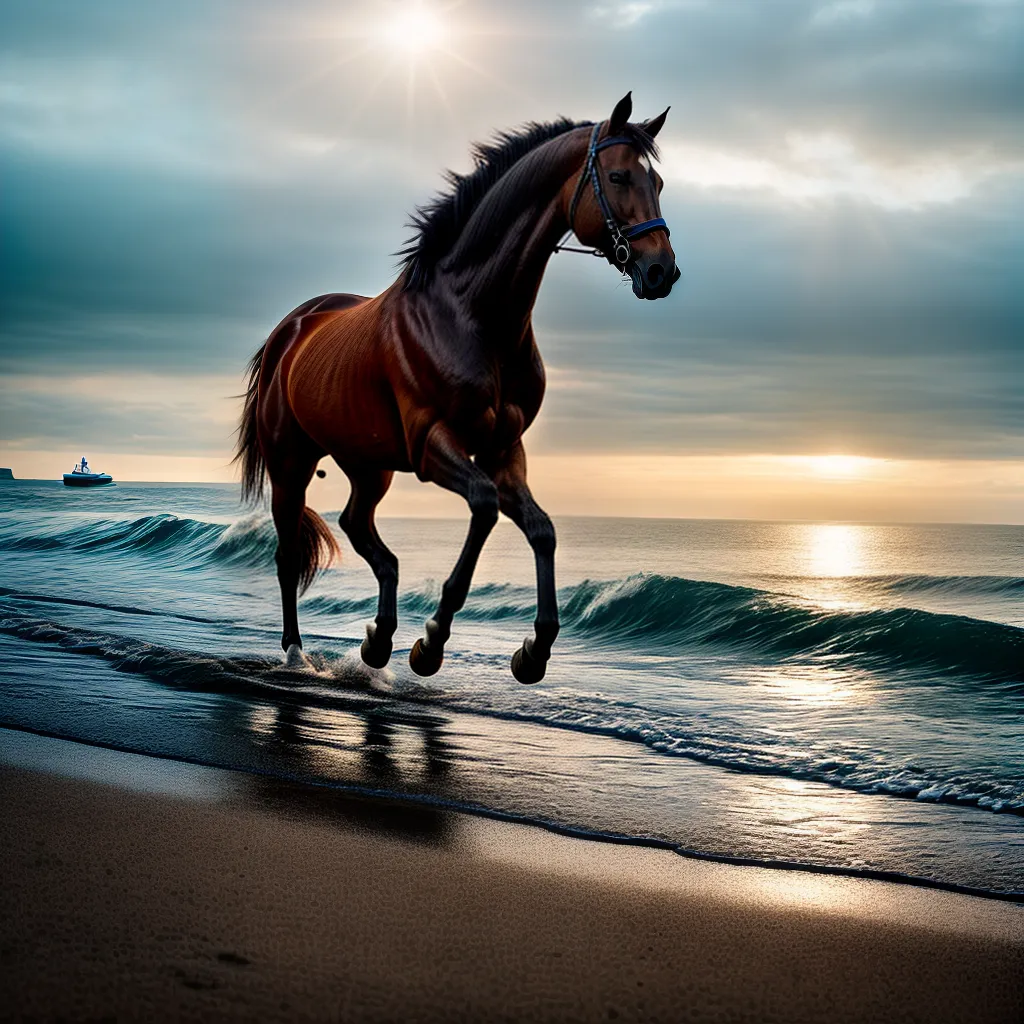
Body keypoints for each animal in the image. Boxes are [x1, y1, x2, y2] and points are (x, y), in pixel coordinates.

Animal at [235, 91, 678, 683]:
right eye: (618, 175)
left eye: (658, 182)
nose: (661, 271)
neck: (469, 314)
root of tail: (290, 329)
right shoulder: (433, 446)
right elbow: (485, 507)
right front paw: (431, 643)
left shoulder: (502, 449)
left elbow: (543, 530)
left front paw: (533, 651)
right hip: (292, 463)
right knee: (288, 557)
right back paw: (296, 653)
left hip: (368, 465)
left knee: (360, 528)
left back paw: (378, 641)